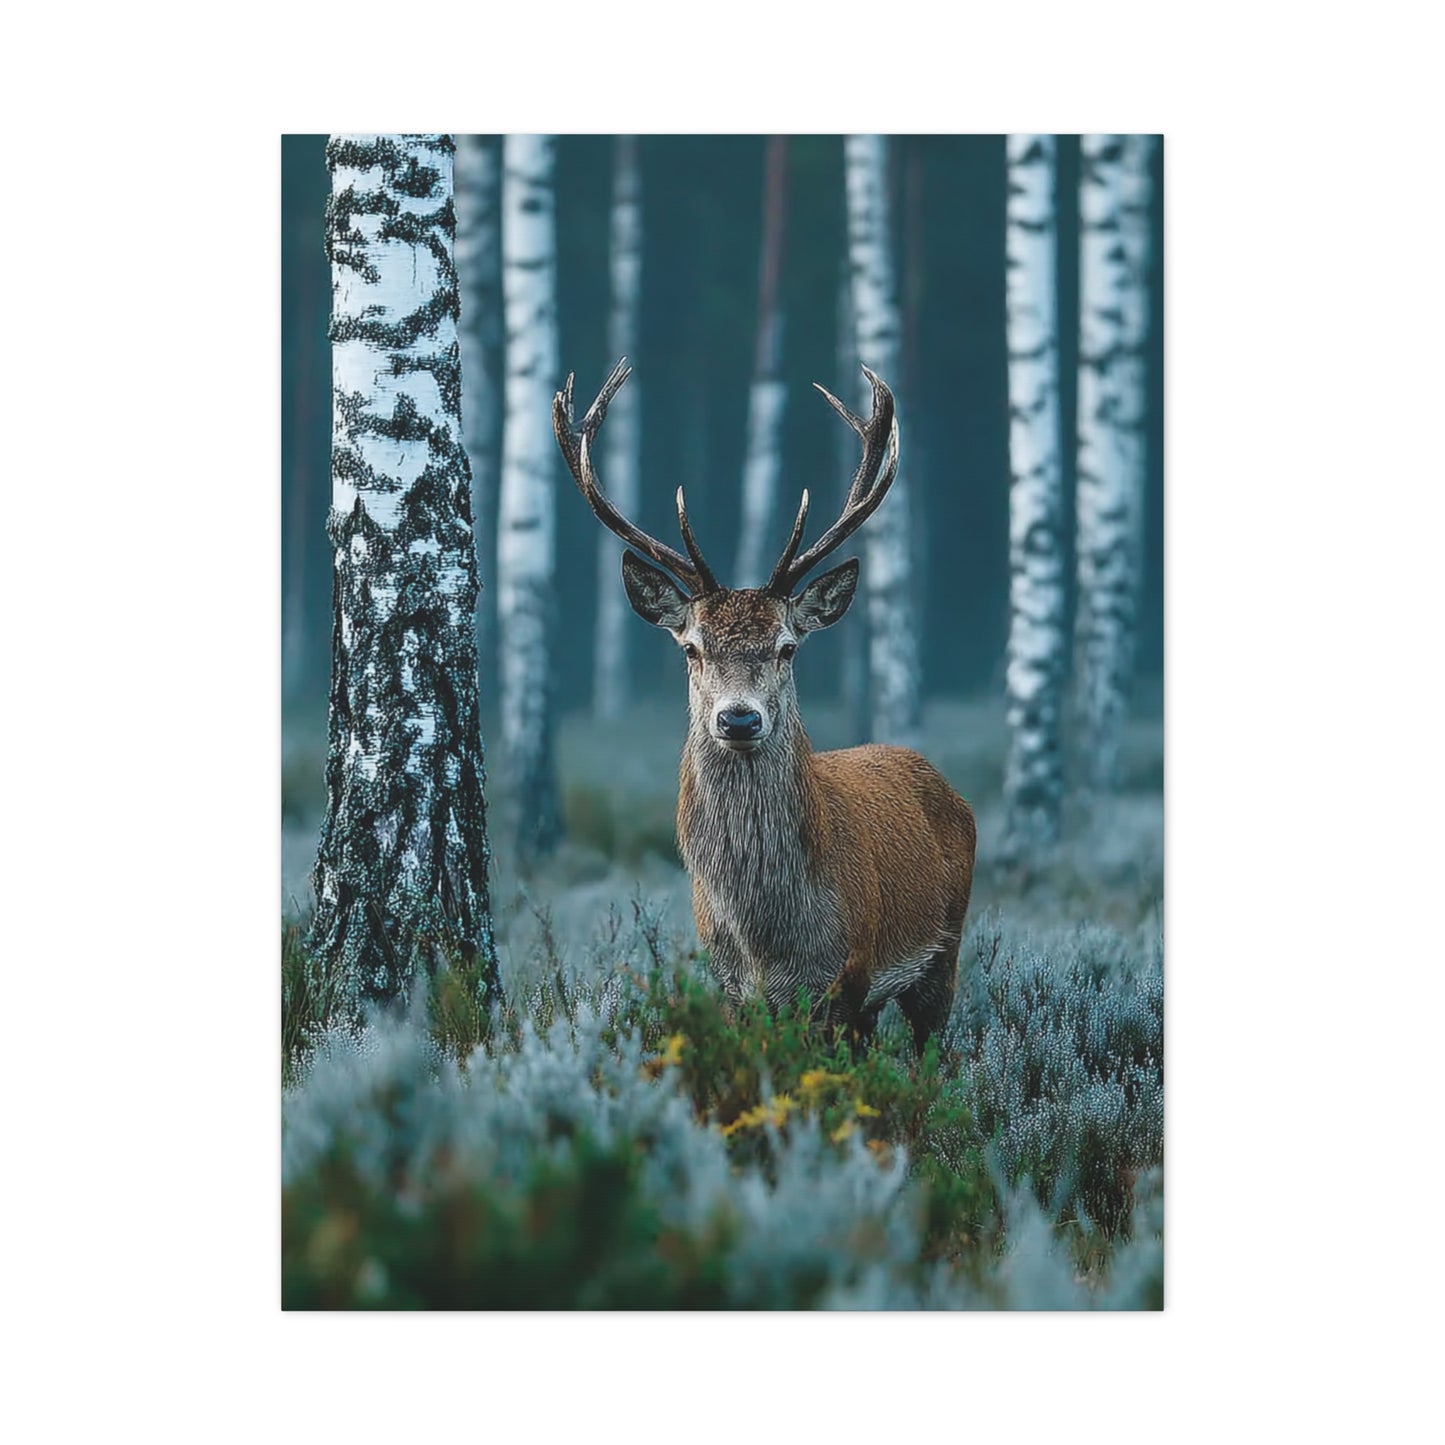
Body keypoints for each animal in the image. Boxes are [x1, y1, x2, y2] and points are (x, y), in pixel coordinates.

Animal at [553, 359, 976, 1053]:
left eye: (786, 647)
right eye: (691, 647)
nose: (739, 717)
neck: (768, 942)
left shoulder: (848, 976)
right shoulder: (731, 987)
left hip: (944, 951)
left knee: (931, 1053)